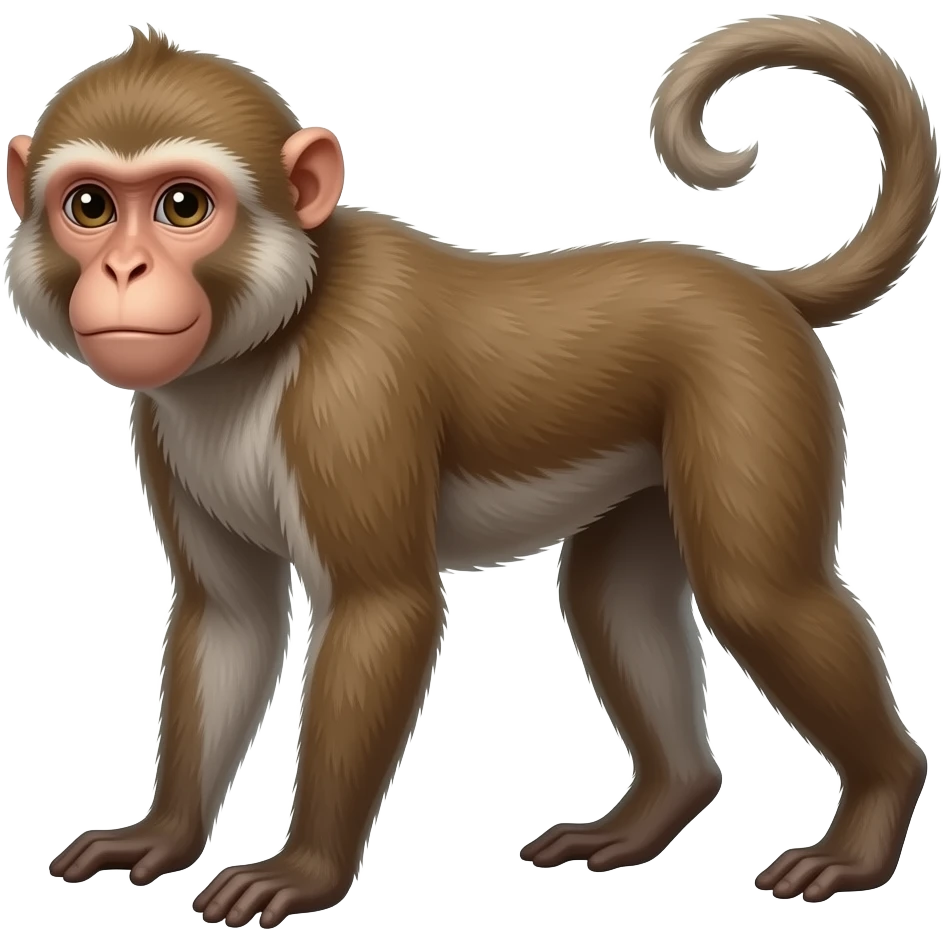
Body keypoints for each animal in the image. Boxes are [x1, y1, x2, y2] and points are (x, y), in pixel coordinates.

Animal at [5, 14, 936, 927]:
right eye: (90, 207)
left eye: (183, 205)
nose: (124, 271)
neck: (266, 336)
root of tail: (755, 286)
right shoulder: (160, 422)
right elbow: (231, 617)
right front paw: (163, 833)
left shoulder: (353, 391)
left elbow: (383, 607)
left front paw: (305, 870)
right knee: (613, 593)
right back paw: (657, 806)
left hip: (749, 382)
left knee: (754, 591)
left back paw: (873, 813)